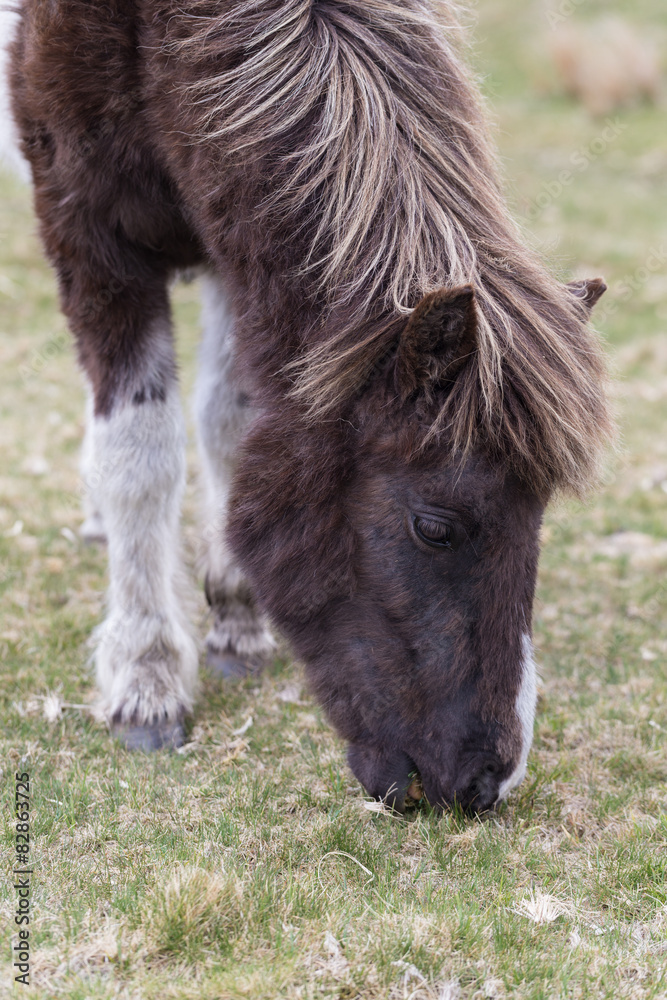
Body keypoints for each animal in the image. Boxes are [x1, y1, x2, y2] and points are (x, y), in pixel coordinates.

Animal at [6, 0, 612, 812]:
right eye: (435, 528)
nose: (488, 781)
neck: (166, 29)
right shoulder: (92, 235)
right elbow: (141, 454)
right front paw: (146, 679)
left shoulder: (232, 238)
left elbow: (230, 423)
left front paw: (235, 617)